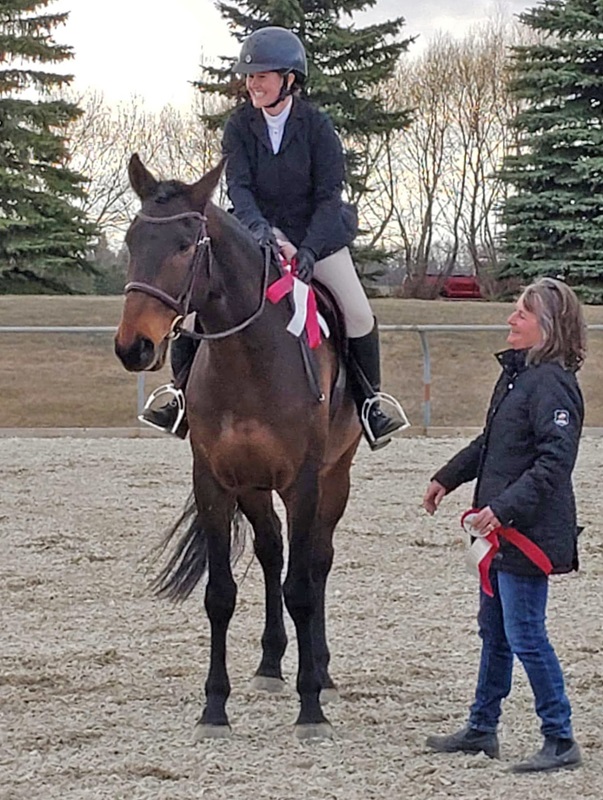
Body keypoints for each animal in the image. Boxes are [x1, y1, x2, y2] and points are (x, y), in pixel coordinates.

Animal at [114, 154, 362, 739]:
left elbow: (302, 587)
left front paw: (310, 707)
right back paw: (271, 665)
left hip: (334, 477)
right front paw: (214, 707)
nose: (134, 347)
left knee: (317, 562)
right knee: (272, 552)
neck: (249, 355)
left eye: (186, 245)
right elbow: (221, 595)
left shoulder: (302, 482)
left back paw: (320, 671)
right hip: (253, 486)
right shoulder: (215, 480)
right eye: (132, 240)